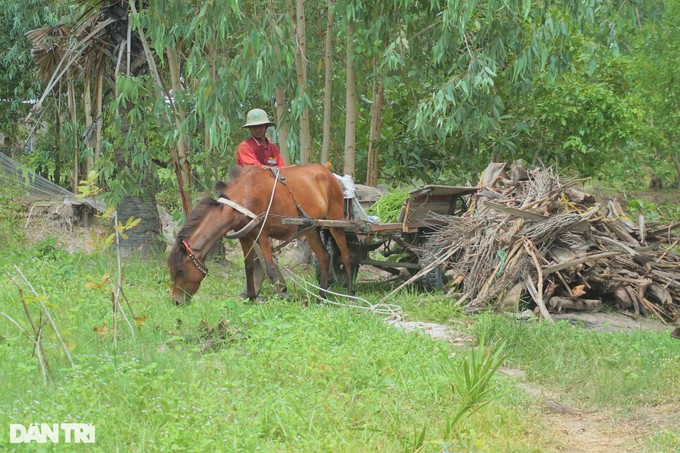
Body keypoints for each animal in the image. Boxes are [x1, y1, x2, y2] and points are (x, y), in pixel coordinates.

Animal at [167, 163, 354, 304]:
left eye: (181, 270)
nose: (176, 301)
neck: (243, 198)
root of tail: (328, 173)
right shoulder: (245, 237)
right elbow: (249, 267)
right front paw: (251, 298)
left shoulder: (262, 234)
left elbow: (270, 268)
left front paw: (281, 299)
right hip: (313, 230)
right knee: (324, 258)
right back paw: (322, 297)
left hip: (336, 223)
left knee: (346, 256)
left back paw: (351, 294)